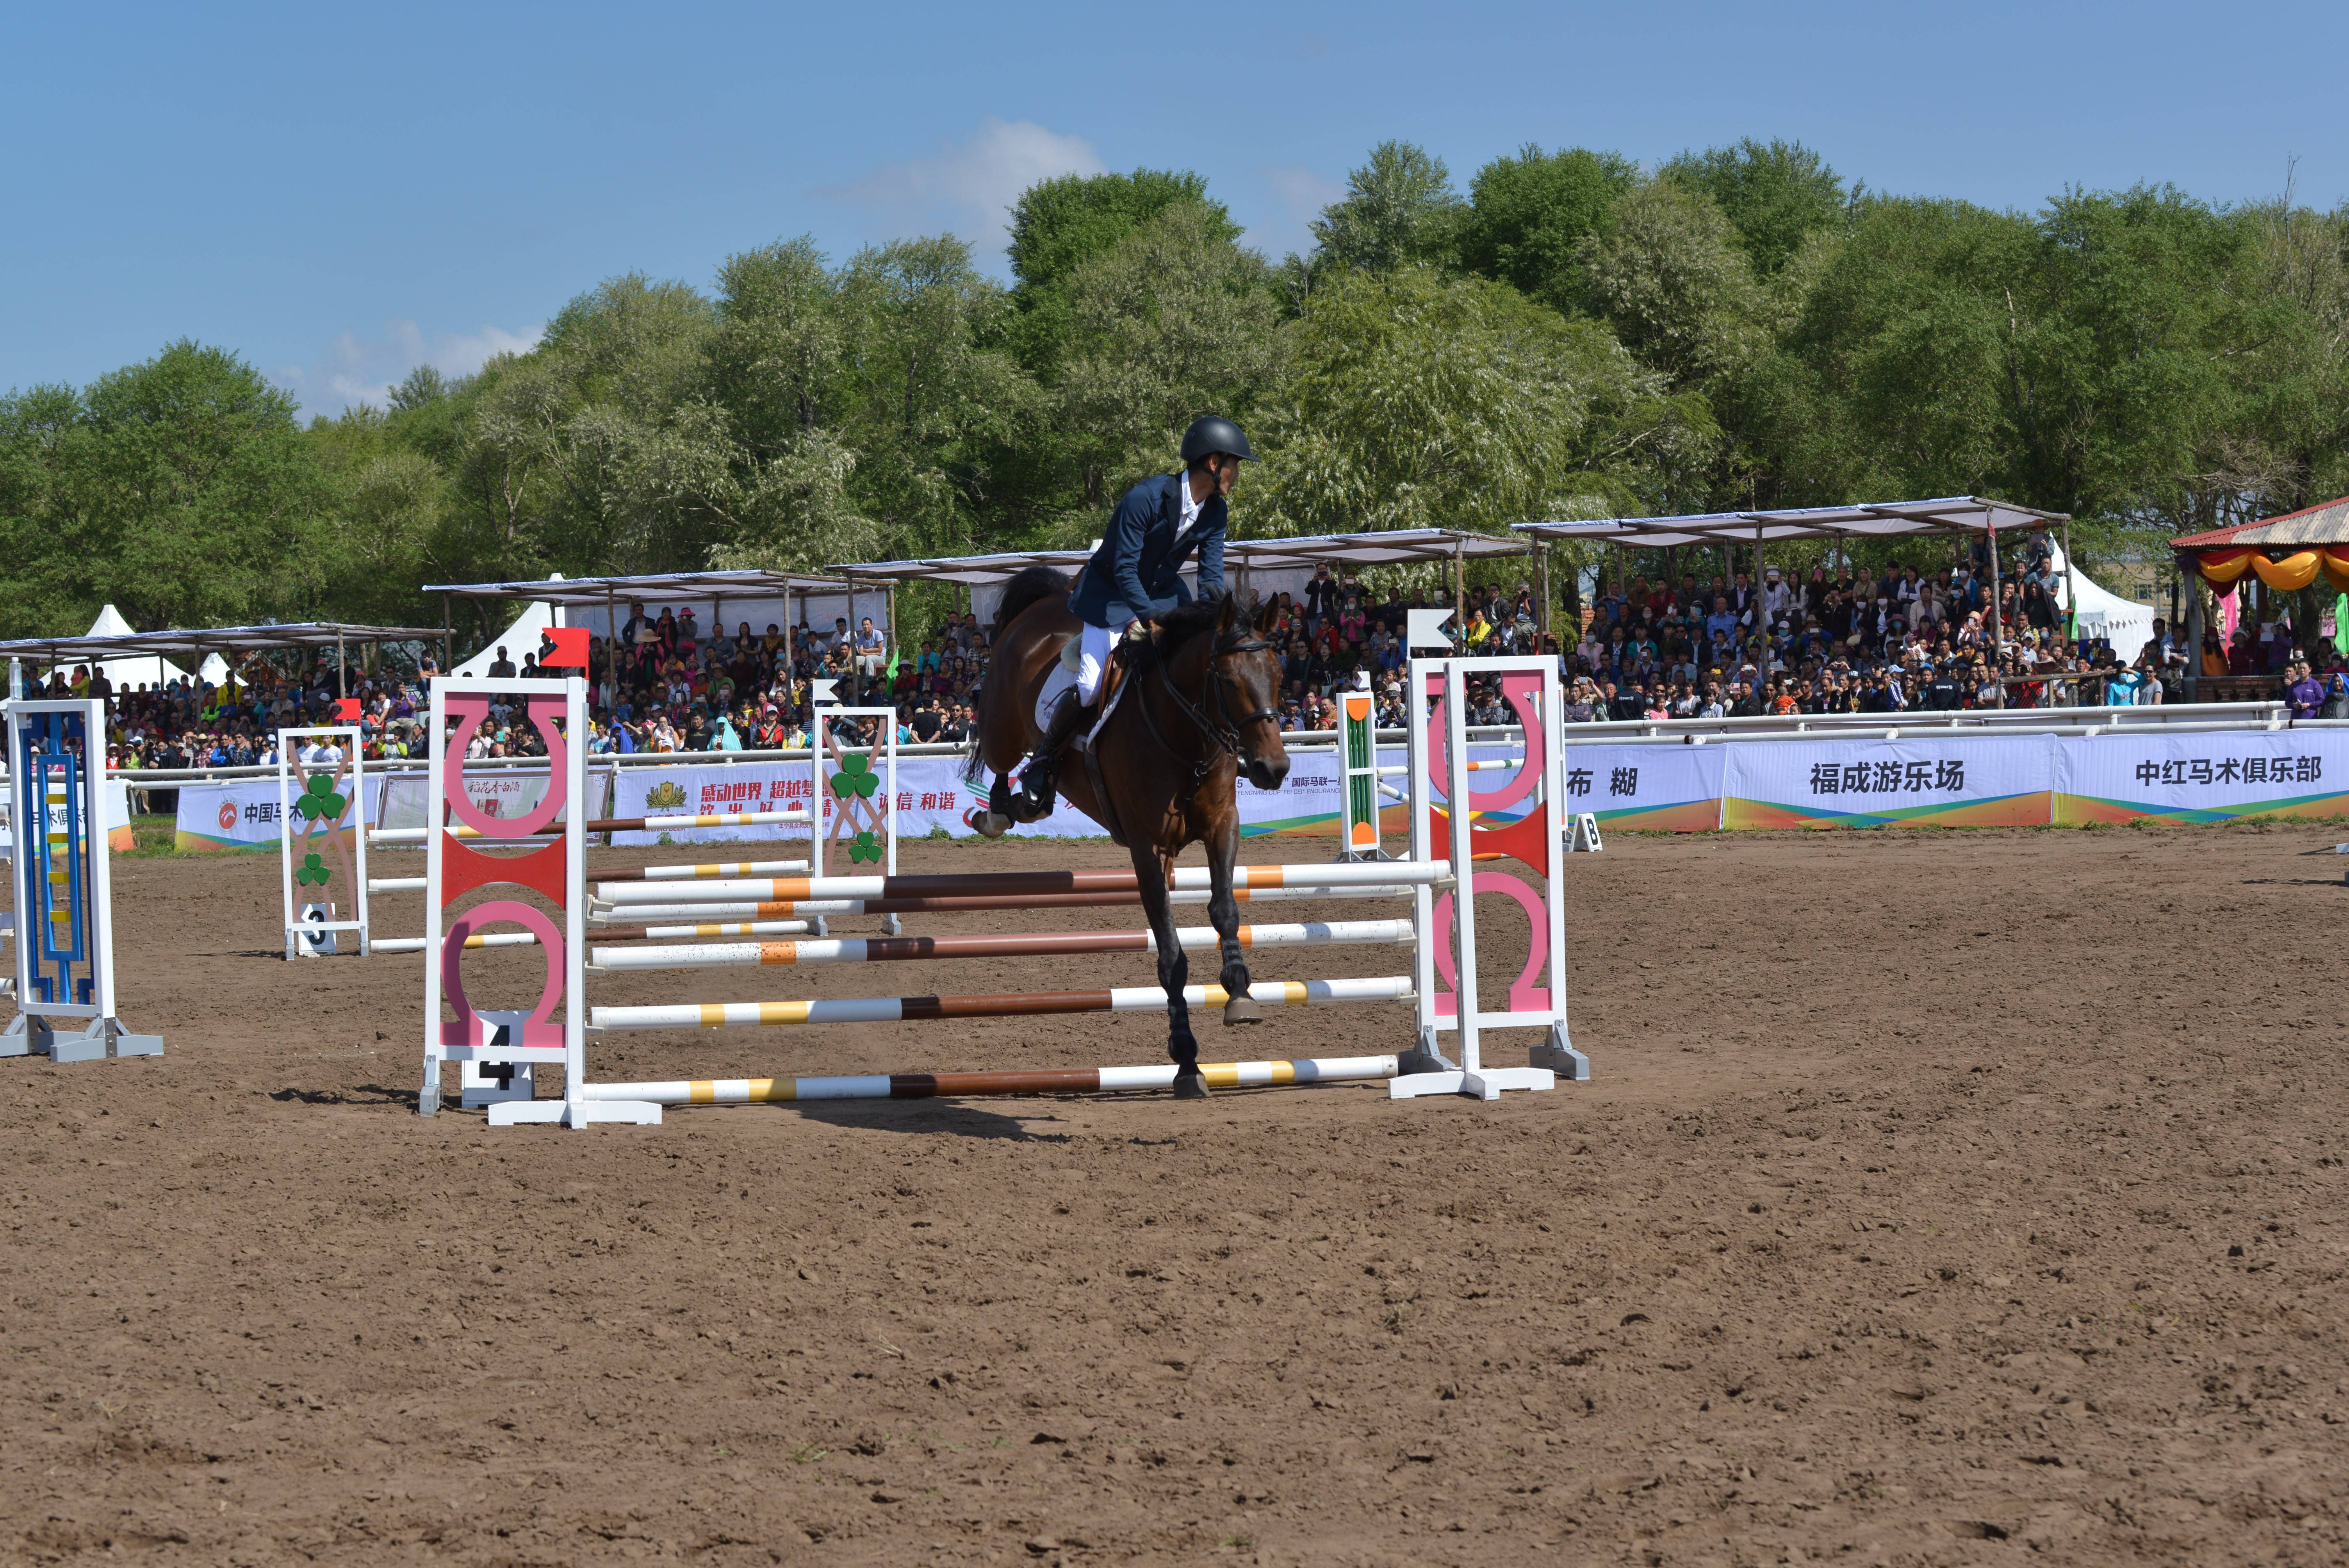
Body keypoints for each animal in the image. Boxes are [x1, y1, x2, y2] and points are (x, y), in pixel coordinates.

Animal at [963, 570, 1296, 1098]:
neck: (1184, 737)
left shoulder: (1223, 825)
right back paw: (1004, 808)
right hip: (1003, 729)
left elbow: (1225, 908)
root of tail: (1046, 602)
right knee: (1000, 762)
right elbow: (1171, 953)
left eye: (1278, 675)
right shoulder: (1148, 848)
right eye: (1226, 680)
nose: (1273, 768)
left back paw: (1028, 800)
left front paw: (1239, 992)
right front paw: (1186, 1060)